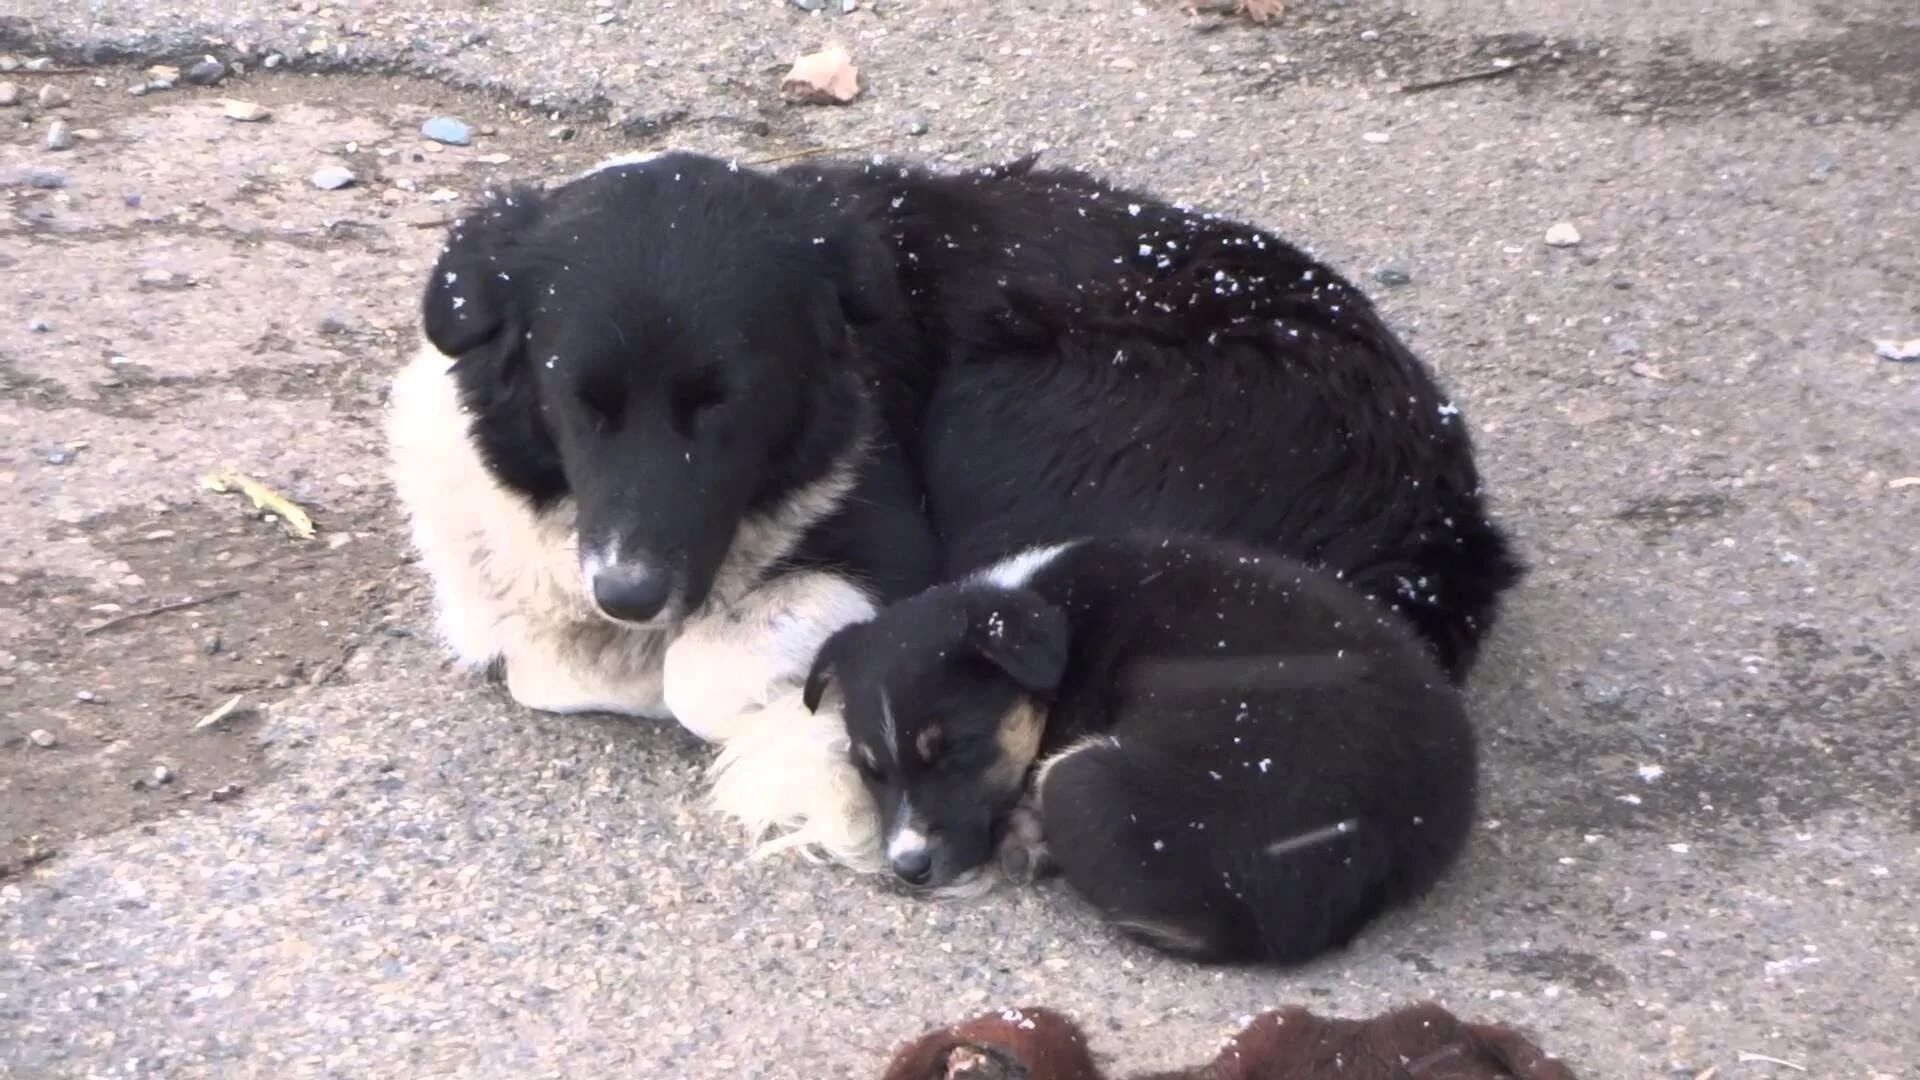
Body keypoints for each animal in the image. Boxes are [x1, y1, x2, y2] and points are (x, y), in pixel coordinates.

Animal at [389, 148, 1520, 857]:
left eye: (726, 405)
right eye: (580, 403)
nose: (629, 594)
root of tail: (1436, 512)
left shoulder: (894, 546)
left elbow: (696, 675)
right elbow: (542, 663)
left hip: (1004, 407)